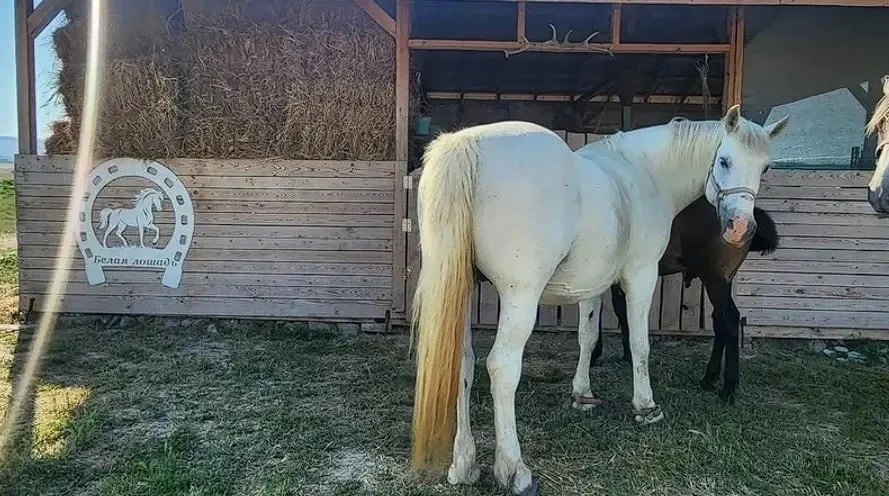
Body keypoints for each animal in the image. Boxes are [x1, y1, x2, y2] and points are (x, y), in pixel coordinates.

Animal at [572, 196, 779, 409]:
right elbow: (620, 311)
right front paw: (625, 354)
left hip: (716, 281)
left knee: (729, 319)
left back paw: (728, 387)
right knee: (720, 321)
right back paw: (709, 379)